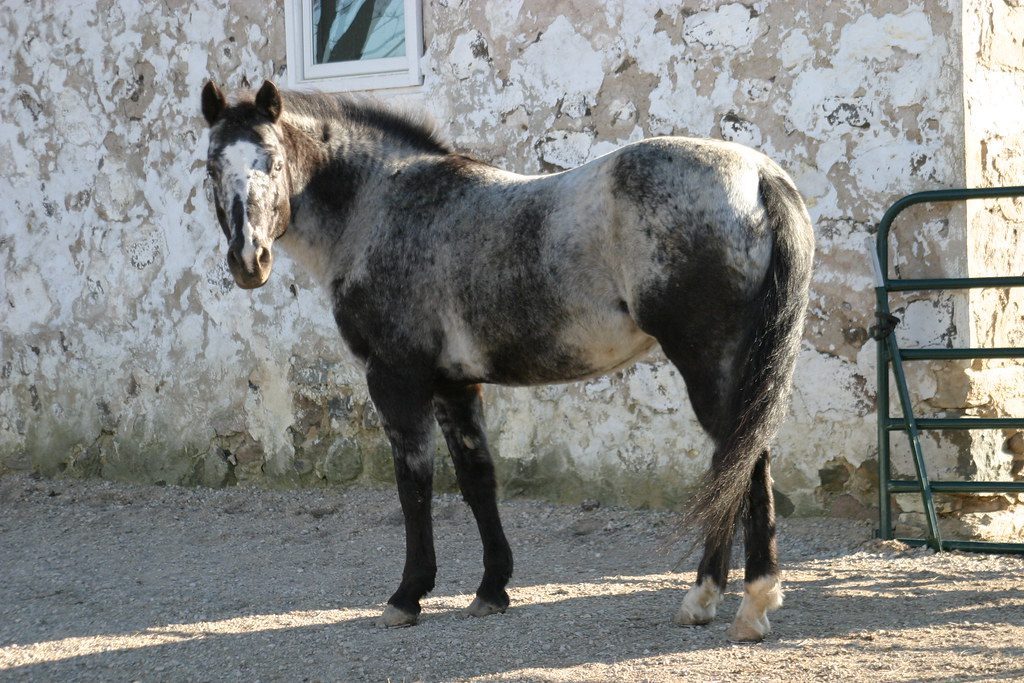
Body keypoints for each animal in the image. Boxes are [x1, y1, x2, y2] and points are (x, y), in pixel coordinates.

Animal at [199, 79, 814, 642]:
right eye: (211, 167)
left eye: (274, 162)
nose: (249, 260)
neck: (382, 208)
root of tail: (760, 175)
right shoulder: (454, 386)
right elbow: (478, 480)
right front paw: (492, 589)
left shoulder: (396, 381)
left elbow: (413, 486)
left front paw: (407, 596)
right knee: (736, 461)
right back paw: (710, 600)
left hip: (710, 365)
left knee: (742, 460)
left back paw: (744, 604)